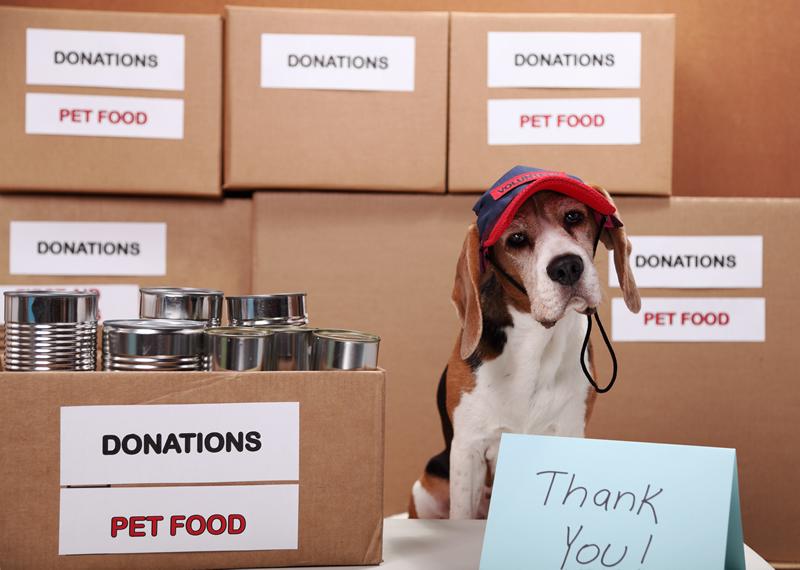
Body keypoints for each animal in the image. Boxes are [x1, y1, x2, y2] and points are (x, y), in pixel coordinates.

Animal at [410, 166, 640, 516]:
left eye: (573, 216)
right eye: (516, 239)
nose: (567, 266)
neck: (537, 339)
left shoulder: (569, 432)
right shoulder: (468, 449)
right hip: (424, 488)